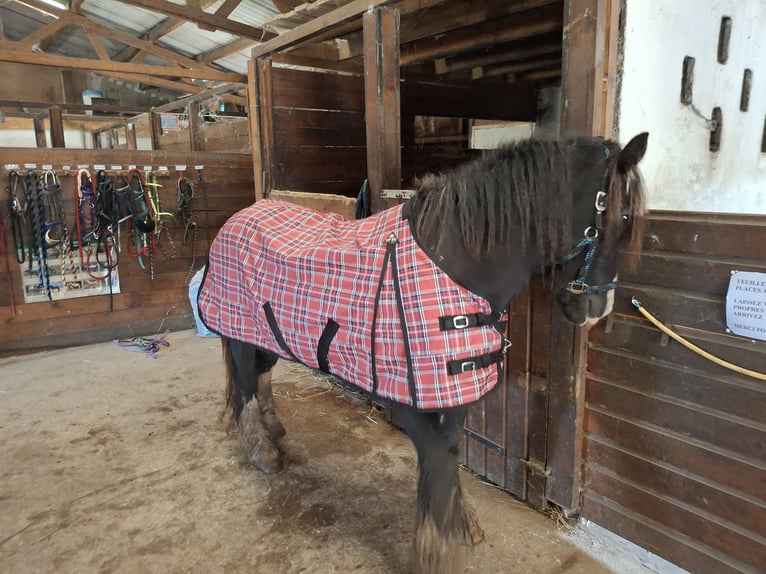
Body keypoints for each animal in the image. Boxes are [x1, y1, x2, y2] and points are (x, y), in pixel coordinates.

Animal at [196, 134, 648, 572]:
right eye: (622, 219)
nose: (597, 309)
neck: (456, 266)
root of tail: (238, 217)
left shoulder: (456, 395)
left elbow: (450, 467)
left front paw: (462, 524)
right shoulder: (420, 408)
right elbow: (438, 476)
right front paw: (436, 553)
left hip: (267, 336)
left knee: (261, 377)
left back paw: (275, 433)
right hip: (240, 334)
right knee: (245, 386)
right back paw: (262, 452)